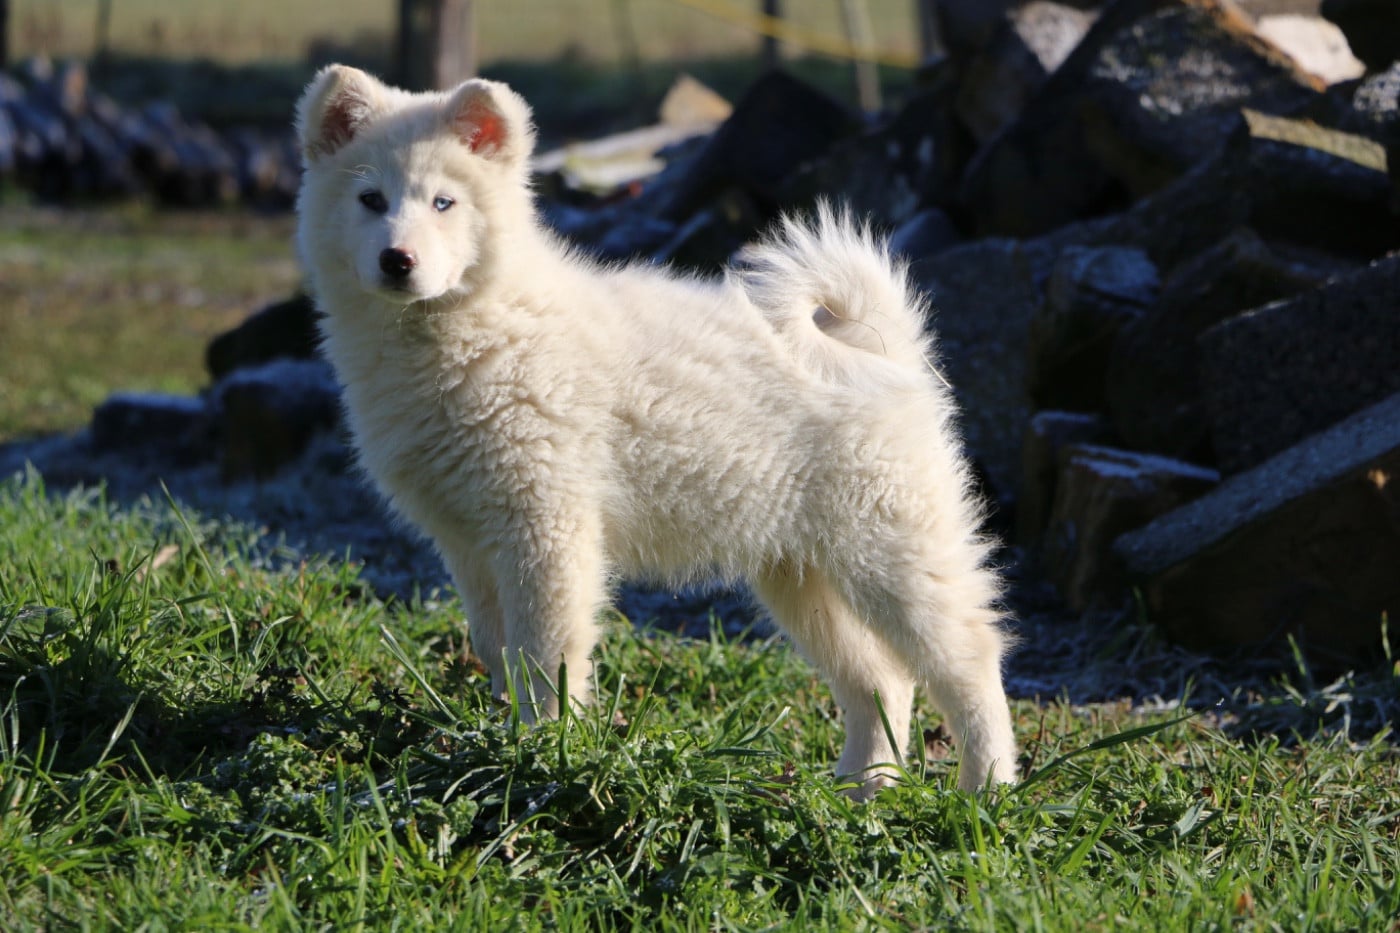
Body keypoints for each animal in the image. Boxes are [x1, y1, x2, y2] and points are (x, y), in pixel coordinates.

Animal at [294, 65, 1018, 796]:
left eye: (444, 202)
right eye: (370, 199)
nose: (398, 260)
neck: (471, 329)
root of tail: (880, 348)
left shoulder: (545, 526)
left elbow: (544, 652)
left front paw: (544, 751)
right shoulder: (467, 542)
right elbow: (496, 647)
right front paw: (500, 739)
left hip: (895, 546)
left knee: (970, 658)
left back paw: (985, 788)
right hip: (801, 573)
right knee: (882, 680)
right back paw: (853, 793)